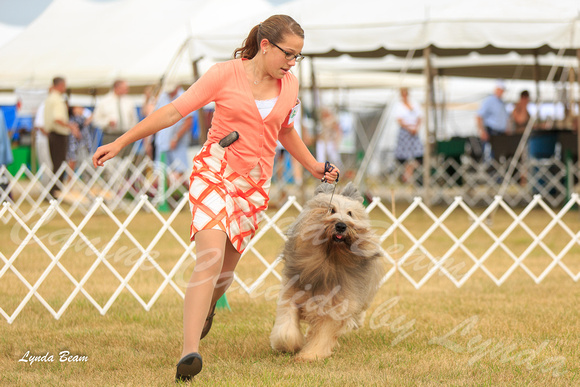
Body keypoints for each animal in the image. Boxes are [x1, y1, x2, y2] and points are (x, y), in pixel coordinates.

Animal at [270, 183, 386, 362]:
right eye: (331, 210)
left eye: (350, 213)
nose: (341, 225)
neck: (328, 259)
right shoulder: (292, 294)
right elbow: (286, 326)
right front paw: (288, 344)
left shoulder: (336, 305)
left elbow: (323, 333)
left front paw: (310, 355)